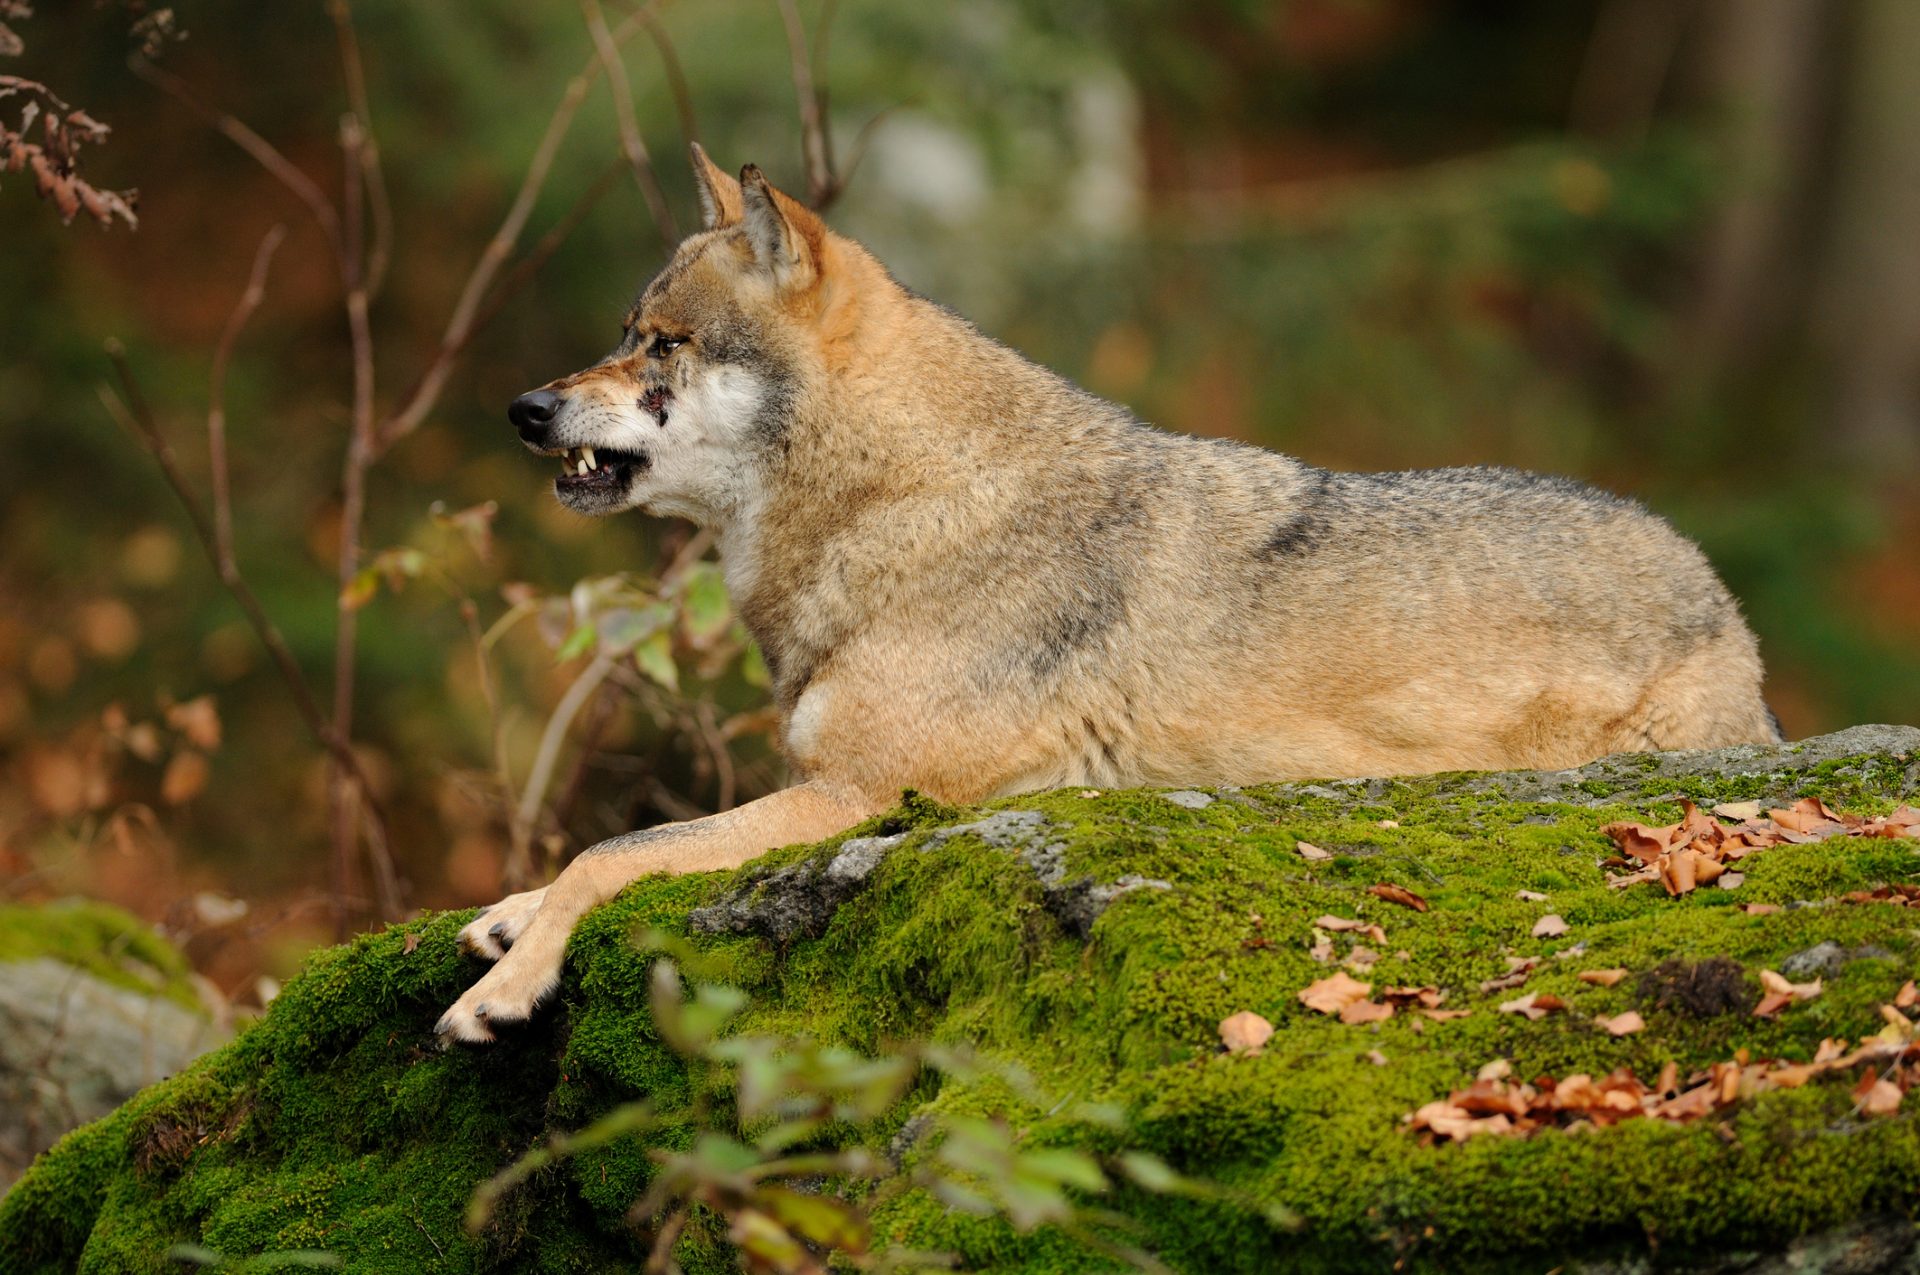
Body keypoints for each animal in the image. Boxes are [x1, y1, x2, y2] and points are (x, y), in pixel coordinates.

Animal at [432, 146, 1766, 1044]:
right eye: (626, 331)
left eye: (664, 344)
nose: (524, 410)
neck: (900, 507)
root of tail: (1715, 590)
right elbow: (612, 851)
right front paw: (507, 918)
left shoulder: (866, 796)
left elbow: (615, 849)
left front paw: (500, 991)